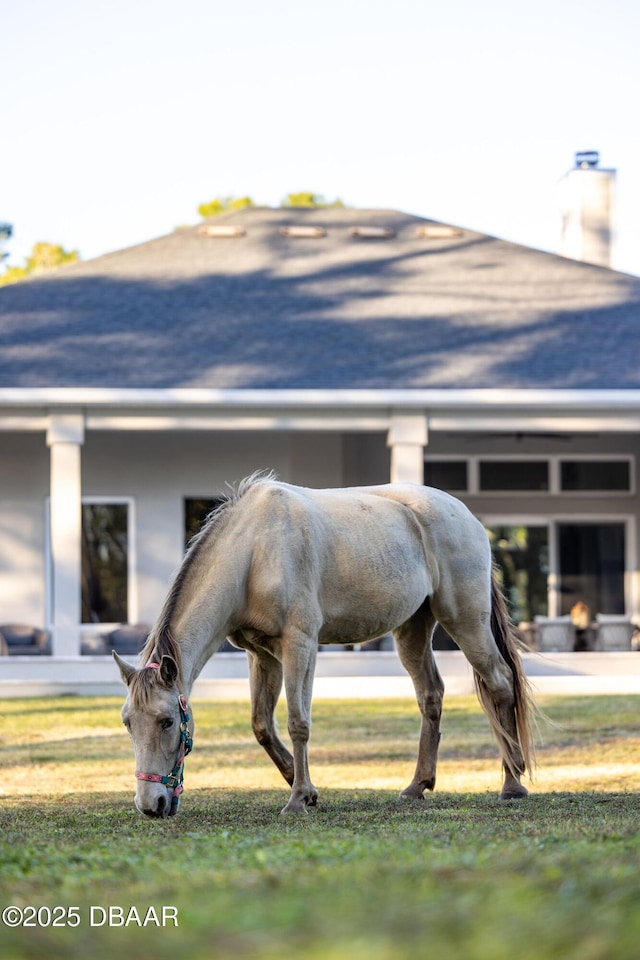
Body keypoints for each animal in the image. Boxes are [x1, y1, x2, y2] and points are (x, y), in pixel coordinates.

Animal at [115, 472, 536, 816]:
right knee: (431, 695)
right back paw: (417, 786)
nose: (151, 804)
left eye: (167, 721)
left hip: (465, 621)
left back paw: (512, 783)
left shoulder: (300, 646)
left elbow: (298, 722)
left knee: (500, 683)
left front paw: (298, 798)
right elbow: (262, 725)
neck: (255, 552)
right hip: (413, 630)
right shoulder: (262, 655)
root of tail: (467, 516)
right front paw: (305, 787)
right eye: (128, 723)